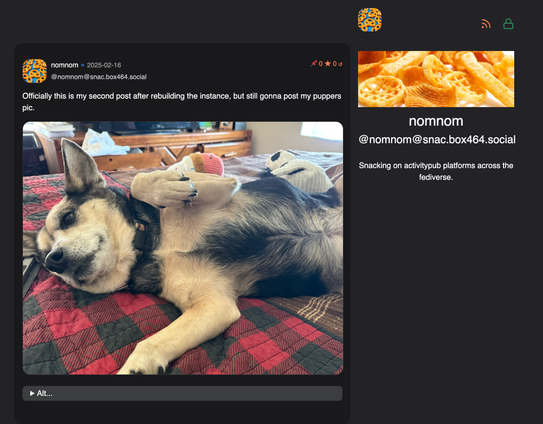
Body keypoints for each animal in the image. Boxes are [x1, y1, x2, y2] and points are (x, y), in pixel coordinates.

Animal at [23, 140, 344, 374]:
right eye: (48, 266)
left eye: (68, 217)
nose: (53, 260)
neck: (149, 244)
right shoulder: (215, 305)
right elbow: (148, 346)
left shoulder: (225, 188)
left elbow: (139, 182)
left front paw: (168, 185)